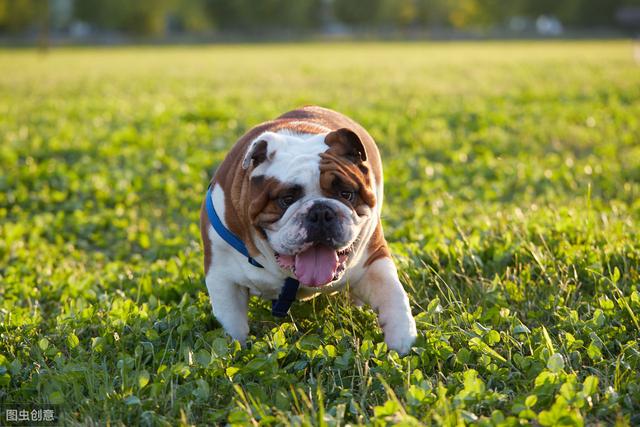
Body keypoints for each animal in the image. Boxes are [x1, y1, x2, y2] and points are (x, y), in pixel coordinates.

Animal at [202, 105, 418, 352]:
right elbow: (232, 322)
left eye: (346, 194)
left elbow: (392, 294)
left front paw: (403, 341)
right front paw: (234, 350)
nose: (321, 212)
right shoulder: (222, 275)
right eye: (287, 199)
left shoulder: (374, 259)